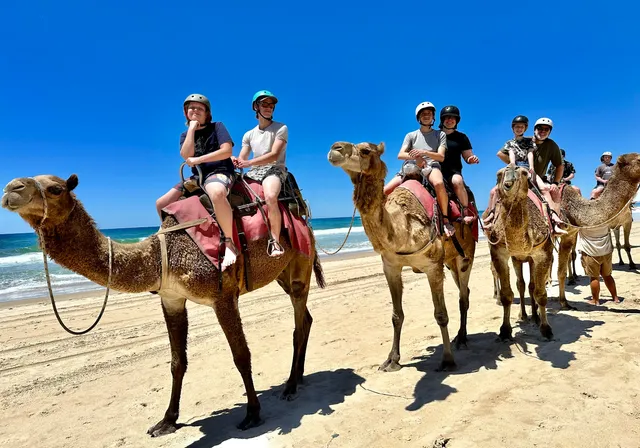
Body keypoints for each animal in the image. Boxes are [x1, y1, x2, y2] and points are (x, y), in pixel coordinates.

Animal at [1, 174, 325, 437]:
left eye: (55, 188)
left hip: (300, 263)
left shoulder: (223, 296)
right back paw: (297, 377)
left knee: (298, 321)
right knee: (306, 319)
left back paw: (290, 386)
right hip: (282, 273)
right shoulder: (171, 299)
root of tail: (302, 218)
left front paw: (253, 414)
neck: (163, 254)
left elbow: (241, 356)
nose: (10, 188)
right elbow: (176, 362)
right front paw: (166, 421)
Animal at [327, 141, 476, 372]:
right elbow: (397, 315)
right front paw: (391, 360)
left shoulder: (433, 266)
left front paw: (447, 360)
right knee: (464, 291)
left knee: (463, 296)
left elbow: (441, 314)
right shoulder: (391, 267)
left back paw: (461, 339)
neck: (403, 229)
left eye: (366, 151)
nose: (336, 148)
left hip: (465, 255)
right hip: (450, 261)